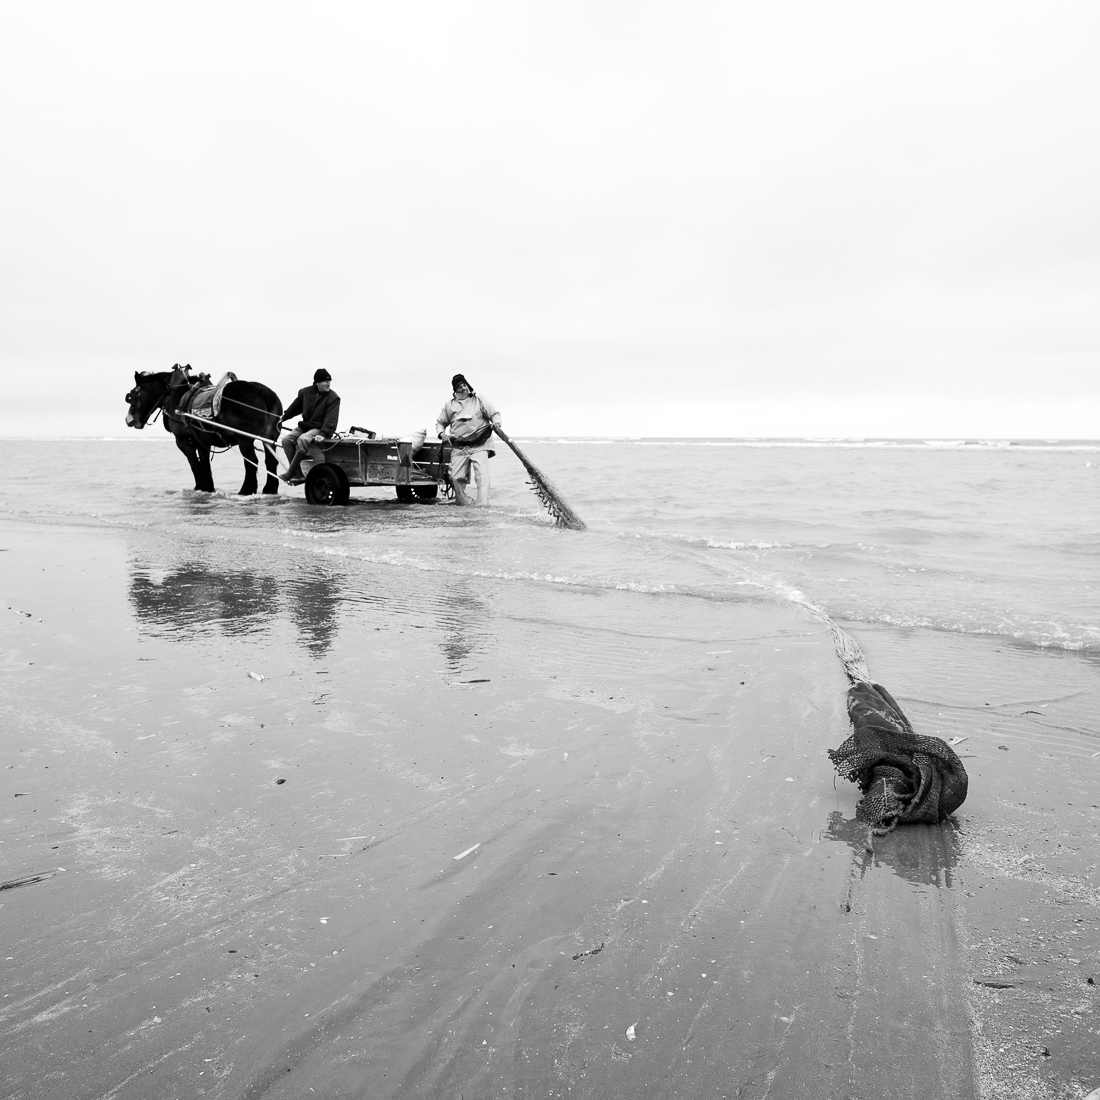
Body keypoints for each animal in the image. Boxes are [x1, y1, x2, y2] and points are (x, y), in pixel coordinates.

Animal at [125, 364, 283, 494]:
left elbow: (195, 465)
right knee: (271, 461)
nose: (129, 419)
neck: (176, 395)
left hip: (244, 439)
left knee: (251, 462)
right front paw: (209, 488)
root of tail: (263, 391)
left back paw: (246, 490)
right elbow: (205, 466)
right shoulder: (202, 442)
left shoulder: (183, 442)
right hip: (270, 437)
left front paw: (200, 487)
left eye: (133, 395)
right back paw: (269, 489)